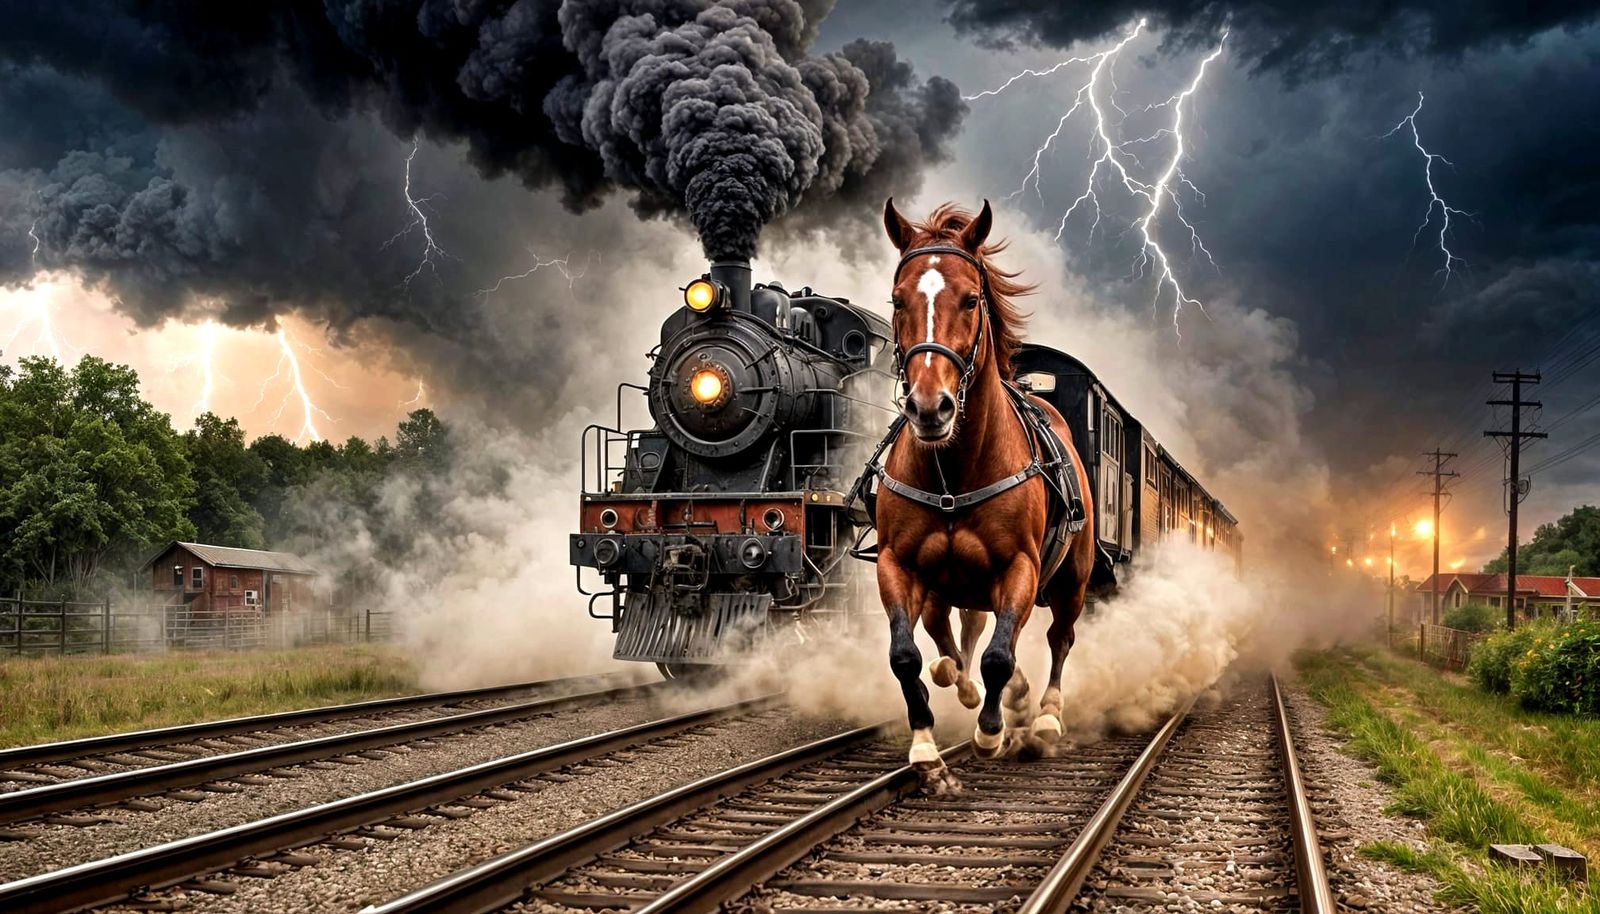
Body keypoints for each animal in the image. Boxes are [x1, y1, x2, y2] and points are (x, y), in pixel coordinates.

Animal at [875, 198, 1096, 791]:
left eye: (970, 299)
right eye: (897, 299)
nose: (930, 407)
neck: (955, 473)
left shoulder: (1019, 566)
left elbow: (1001, 654)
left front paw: (992, 732)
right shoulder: (897, 564)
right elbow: (906, 656)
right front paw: (926, 749)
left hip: (1072, 578)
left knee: (1057, 638)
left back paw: (1044, 715)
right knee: (956, 634)